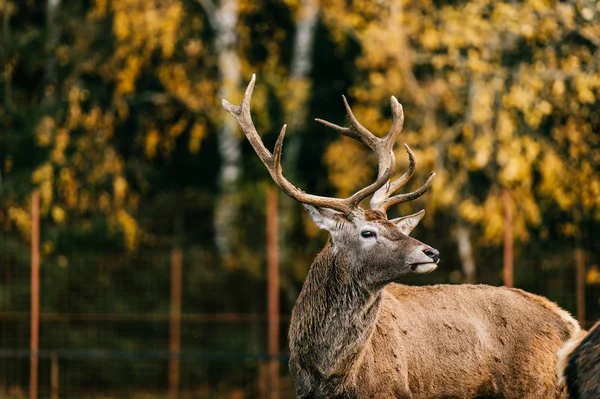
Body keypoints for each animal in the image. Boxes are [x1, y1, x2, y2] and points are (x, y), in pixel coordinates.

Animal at [223, 76, 580, 399]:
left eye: (395, 228)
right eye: (368, 232)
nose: (431, 252)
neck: (331, 378)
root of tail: (570, 324)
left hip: (533, 388)